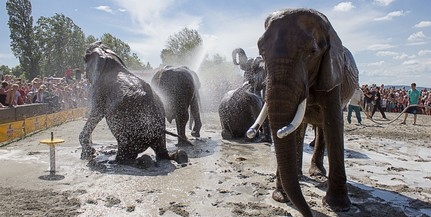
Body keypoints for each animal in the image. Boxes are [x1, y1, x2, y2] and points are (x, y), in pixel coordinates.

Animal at [251, 8, 360, 215]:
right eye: (261, 51)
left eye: (312, 52)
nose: (309, 213)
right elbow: (292, 130)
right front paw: (280, 197)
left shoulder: (333, 74)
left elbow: (334, 122)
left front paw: (338, 206)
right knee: (300, 128)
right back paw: (301, 176)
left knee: (323, 127)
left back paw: (316, 173)